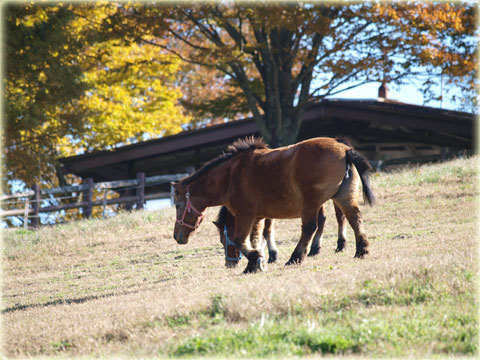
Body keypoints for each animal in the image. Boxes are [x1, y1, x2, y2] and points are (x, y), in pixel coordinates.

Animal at [214, 202, 348, 268]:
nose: (229, 264)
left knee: (338, 216)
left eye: (223, 240)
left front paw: (272, 255)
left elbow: (266, 231)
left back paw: (337, 245)